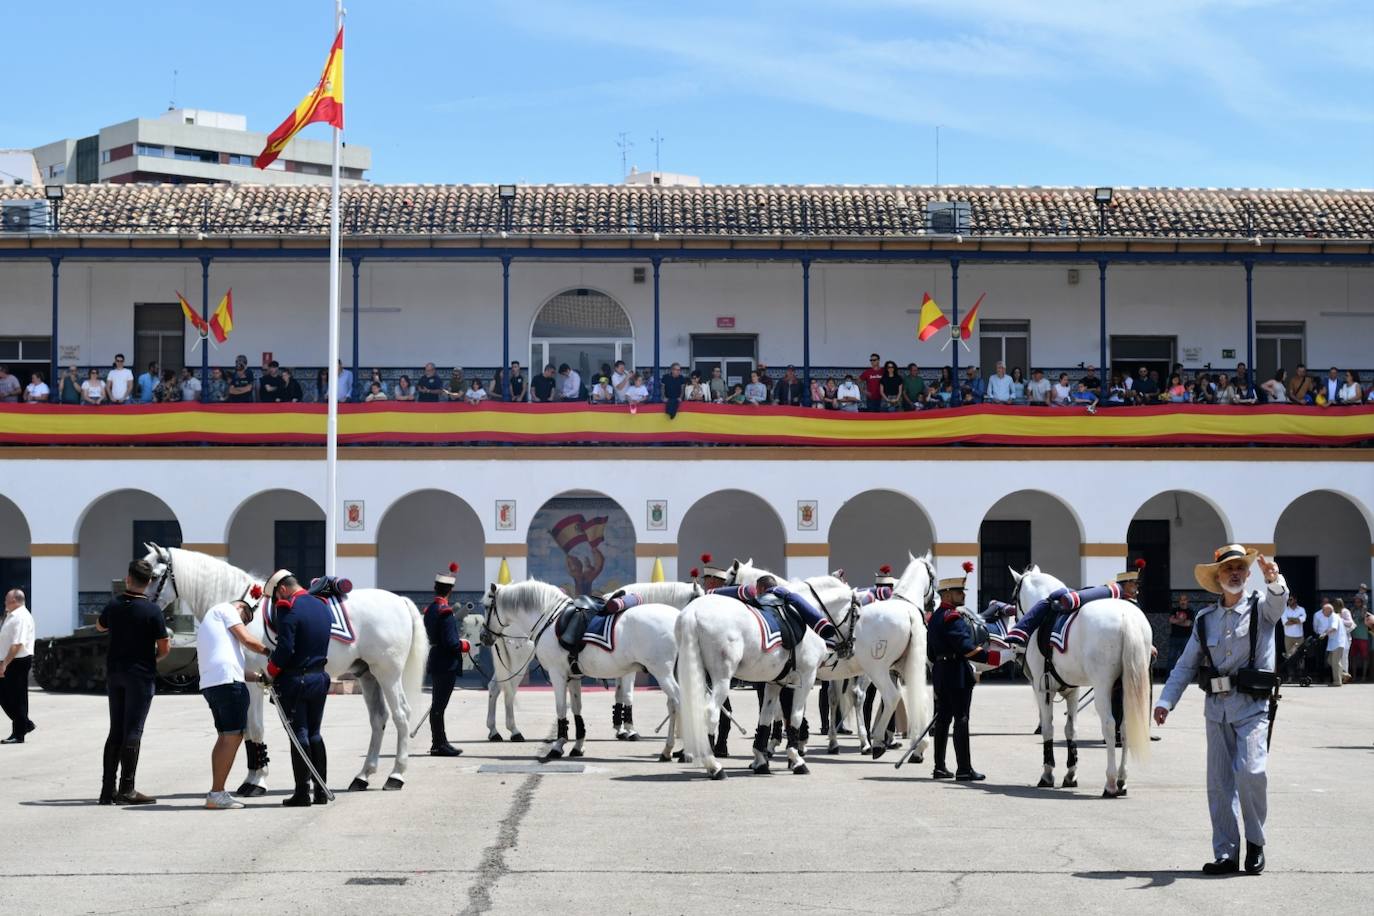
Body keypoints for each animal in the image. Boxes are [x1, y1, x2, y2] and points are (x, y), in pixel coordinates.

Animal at [139, 543, 425, 796]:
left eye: (153, 575)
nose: (143, 603)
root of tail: (399, 600)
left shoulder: (254, 683)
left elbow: (255, 728)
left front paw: (256, 782)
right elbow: (249, 732)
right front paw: (253, 777)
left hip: (387, 674)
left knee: (401, 715)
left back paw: (396, 775)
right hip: (367, 675)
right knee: (378, 719)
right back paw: (363, 776)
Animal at [480, 579, 687, 769]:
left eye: (486, 606)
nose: (483, 636)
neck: (550, 618)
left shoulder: (558, 674)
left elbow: (562, 709)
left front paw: (558, 746)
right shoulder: (574, 676)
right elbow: (577, 709)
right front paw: (578, 746)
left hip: (663, 673)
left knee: (678, 702)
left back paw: (675, 750)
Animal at [673, 563, 851, 780]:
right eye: (856, 612)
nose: (849, 646)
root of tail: (693, 613)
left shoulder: (776, 682)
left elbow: (766, 718)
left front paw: (761, 760)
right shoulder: (806, 678)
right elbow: (794, 717)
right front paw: (796, 759)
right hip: (721, 679)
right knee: (710, 712)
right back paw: (714, 765)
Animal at [1011, 565, 1148, 796]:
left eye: (1013, 598)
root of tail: (1126, 618)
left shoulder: (1043, 689)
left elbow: (1048, 728)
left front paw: (1047, 774)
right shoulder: (1072, 691)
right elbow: (1071, 729)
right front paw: (1070, 774)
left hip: (1103, 687)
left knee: (1110, 725)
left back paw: (1111, 782)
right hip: (1124, 687)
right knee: (1125, 726)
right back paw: (1122, 780)